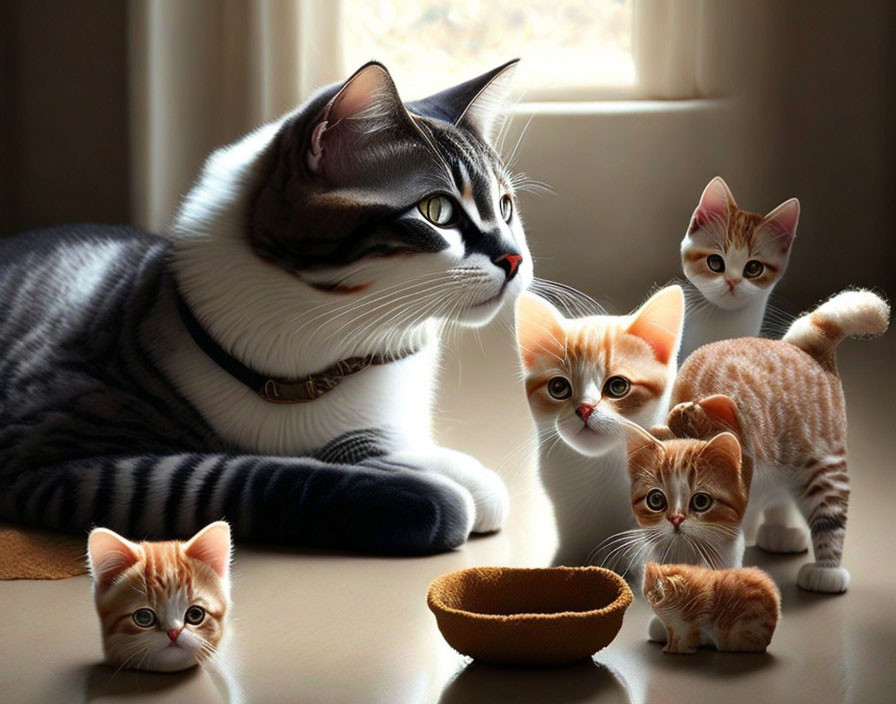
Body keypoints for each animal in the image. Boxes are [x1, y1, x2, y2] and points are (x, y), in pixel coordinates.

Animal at [0, 60, 532, 556]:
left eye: (506, 208)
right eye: (436, 212)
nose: (515, 258)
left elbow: (365, 441)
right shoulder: (49, 450)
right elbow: (229, 476)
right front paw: (422, 494)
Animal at [644, 560, 776, 656]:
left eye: (656, 592)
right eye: (647, 590)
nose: (649, 597)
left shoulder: (684, 625)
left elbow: (681, 641)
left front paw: (678, 651)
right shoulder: (671, 625)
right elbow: (671, 639)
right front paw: (667, 649)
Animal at [668, 288, 884, 592]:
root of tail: (807, 348)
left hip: (823, 468)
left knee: (828, 519)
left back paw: (825, 572)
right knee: (779, 497)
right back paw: (780, 532)